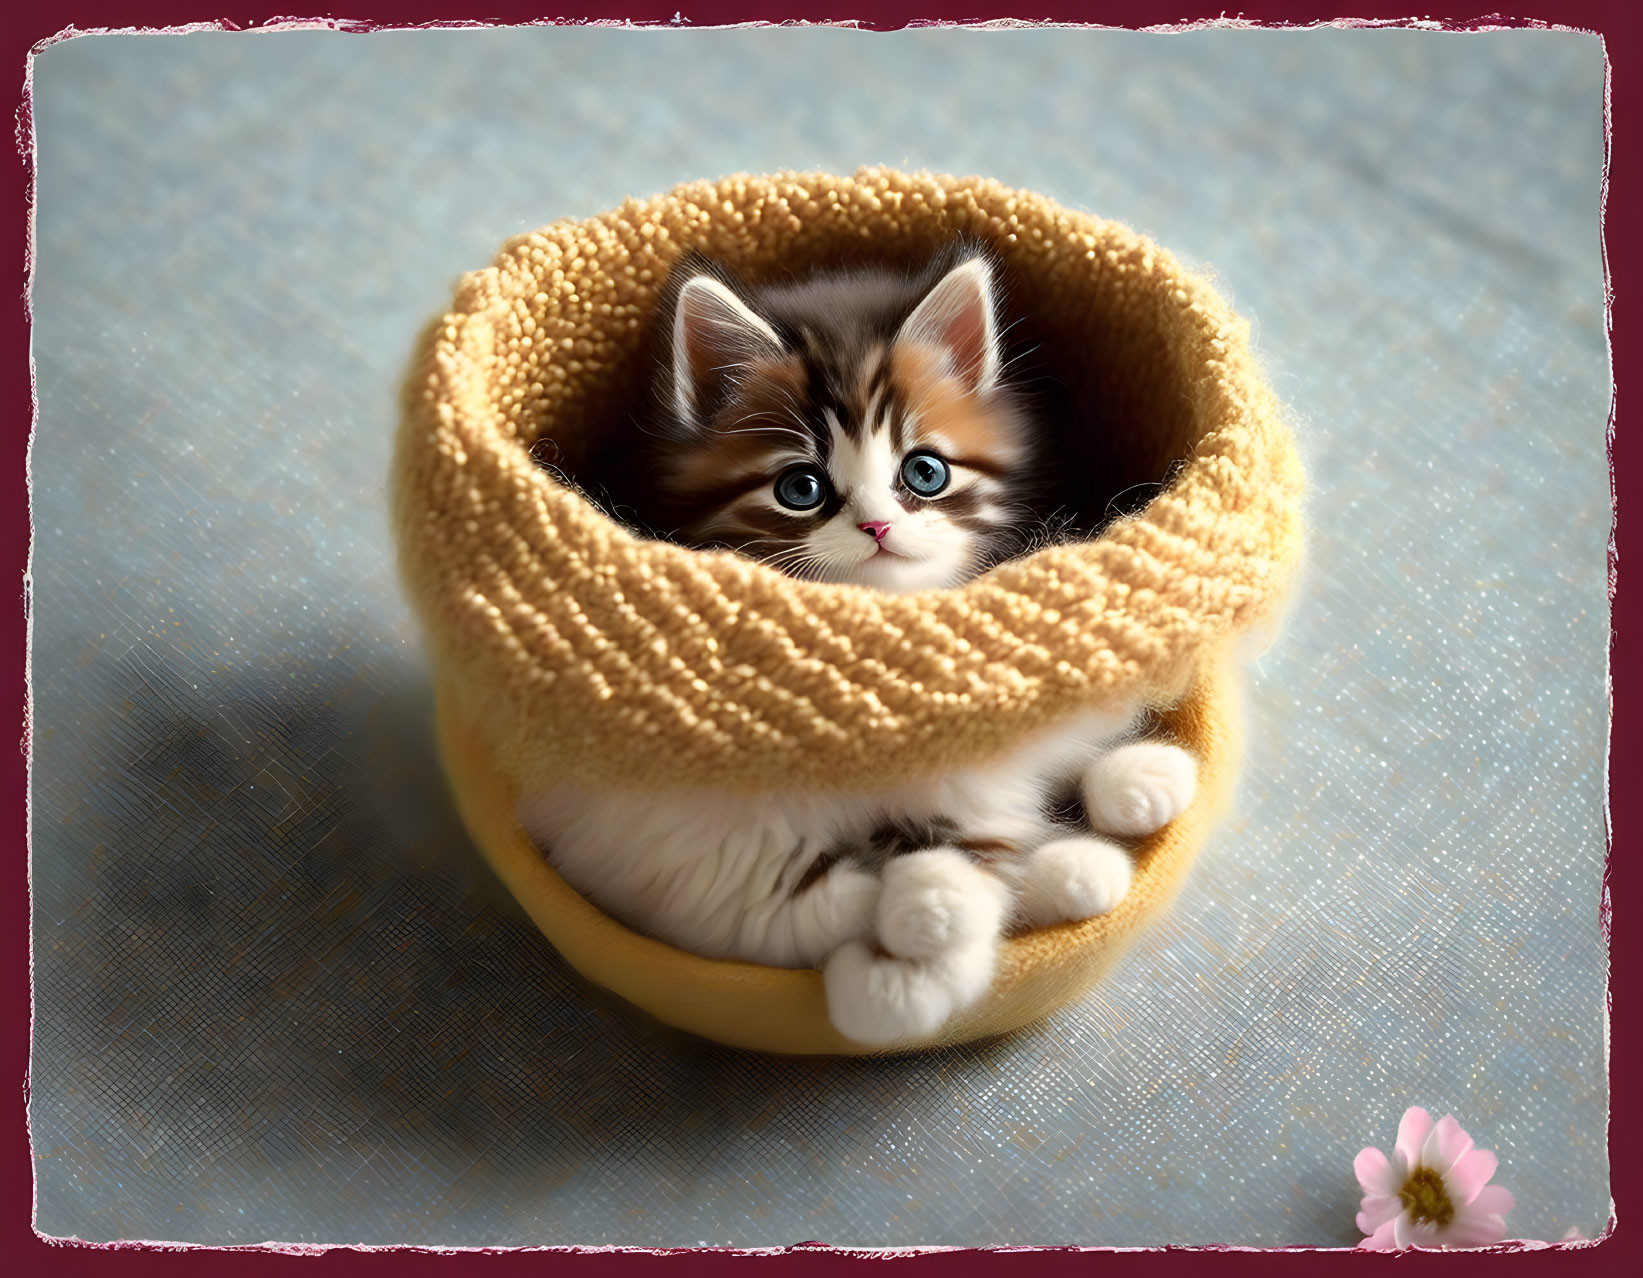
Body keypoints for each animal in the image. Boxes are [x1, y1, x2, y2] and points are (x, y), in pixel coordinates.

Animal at [519, 249, 1202, 1044]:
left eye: (925, 472)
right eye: (801, 487)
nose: (877, 527)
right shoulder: (673, 859)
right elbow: (820, 908)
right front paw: (916, 949)